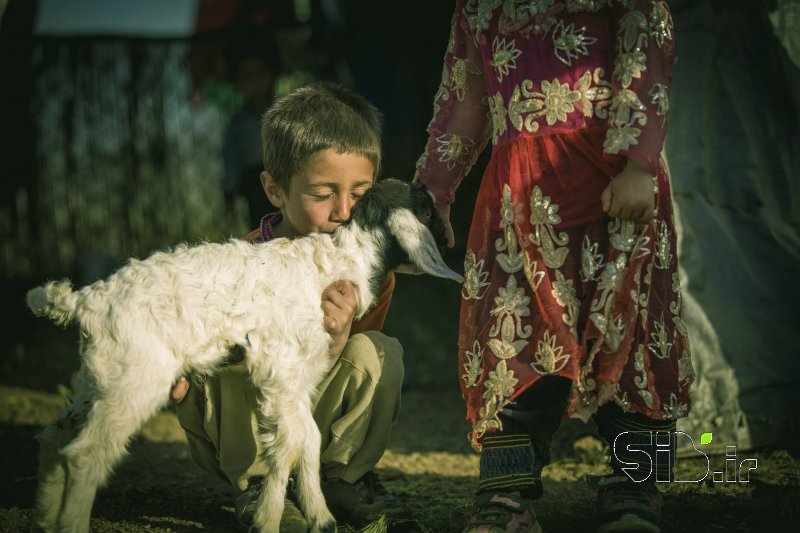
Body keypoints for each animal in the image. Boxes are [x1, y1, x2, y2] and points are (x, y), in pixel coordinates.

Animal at [28, 179, 462, 532]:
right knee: (83, 454)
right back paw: (71, 523)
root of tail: (88, 299)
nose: (450, 240)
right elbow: (289, 443)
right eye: (427, 206)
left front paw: (320, 517)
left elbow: (308, 437)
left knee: (52, 440)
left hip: (98, 377)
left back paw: (47, 518)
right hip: (137, 379)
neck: (337, 264)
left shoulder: (300, 378)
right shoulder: (281, 371)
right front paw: (268, 518)